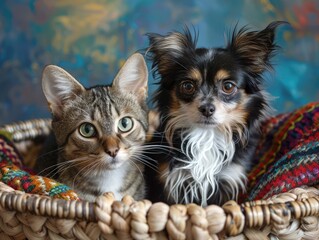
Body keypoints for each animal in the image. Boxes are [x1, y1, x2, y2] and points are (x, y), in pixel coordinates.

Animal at [146, 21, 286, 206]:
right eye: (187, 86)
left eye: (228, 86)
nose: (207, 108)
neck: (206, 135)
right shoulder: (170, 181)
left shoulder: (228, 180)